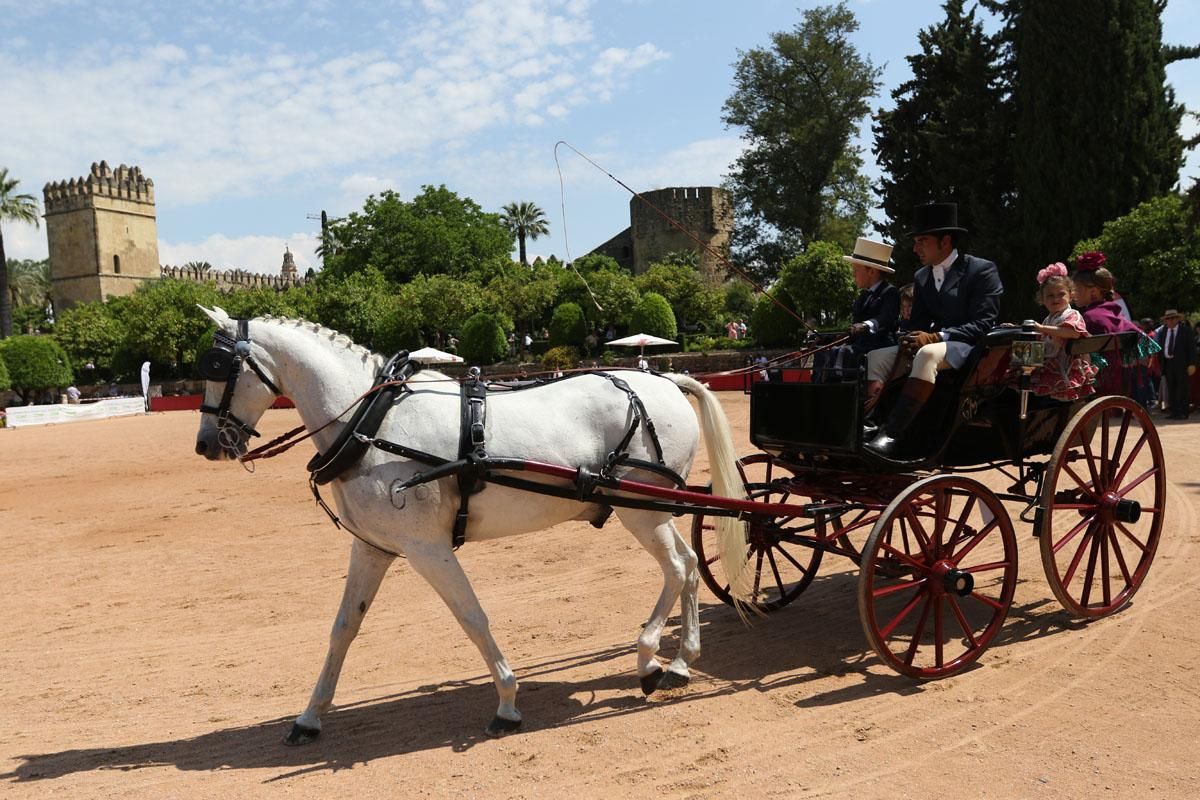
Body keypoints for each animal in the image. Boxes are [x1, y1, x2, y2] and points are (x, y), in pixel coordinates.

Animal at [190, 309, 744, 743]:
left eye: (217, 366)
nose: (205, 444)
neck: (374, 425)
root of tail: (664, 381)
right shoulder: (373, 547)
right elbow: (344, 628)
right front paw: (309, 717)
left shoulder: (427, 548)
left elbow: (471, 617)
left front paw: (507, 703)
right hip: (652, 509)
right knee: (690, 565)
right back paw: (681, 661)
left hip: (640, 509)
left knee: (677, 568)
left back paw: (649, 658)